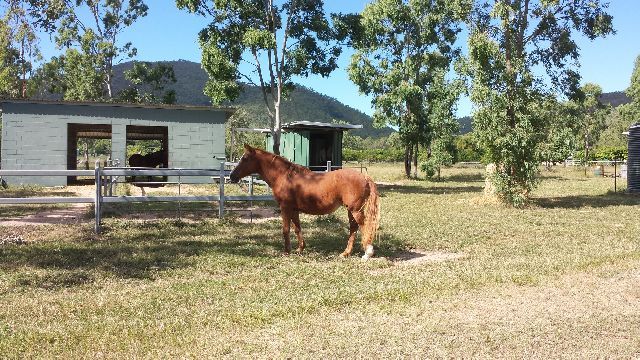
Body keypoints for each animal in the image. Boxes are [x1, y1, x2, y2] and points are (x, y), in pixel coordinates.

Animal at [230, 143, 380, 258]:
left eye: (245, 158)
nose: (232, 176)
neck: (284, 176)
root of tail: (364, 177)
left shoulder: (285, 208)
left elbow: (285, 229)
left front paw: (286, 251)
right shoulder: (294, 209)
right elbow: (297, 228)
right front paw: (300, 249)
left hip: (355, 210)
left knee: (364, 226)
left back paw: (367, 253)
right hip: (351, 210)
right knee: (353, 228)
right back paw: (345, 253)